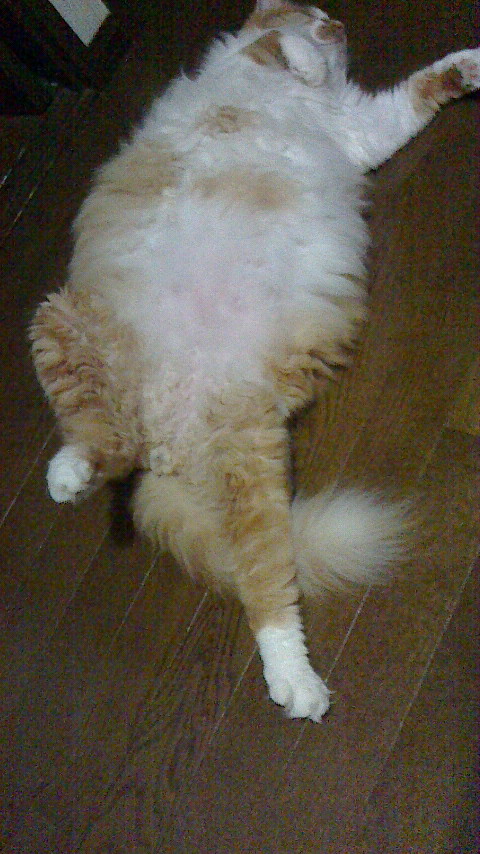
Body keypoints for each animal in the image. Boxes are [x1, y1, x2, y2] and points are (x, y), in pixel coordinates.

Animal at [30, 1, 480, 721]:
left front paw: (468, 65)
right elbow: (275, 46)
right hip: (59, 321)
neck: (298, 96)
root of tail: (166, 448)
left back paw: (295, 683)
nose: (338, 27)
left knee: (251, 577)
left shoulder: (363, 129)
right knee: (100, 439)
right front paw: (303, 54)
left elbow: (420, 89)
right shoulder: (258, 65)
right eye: (319, 13)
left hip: (246, 455)